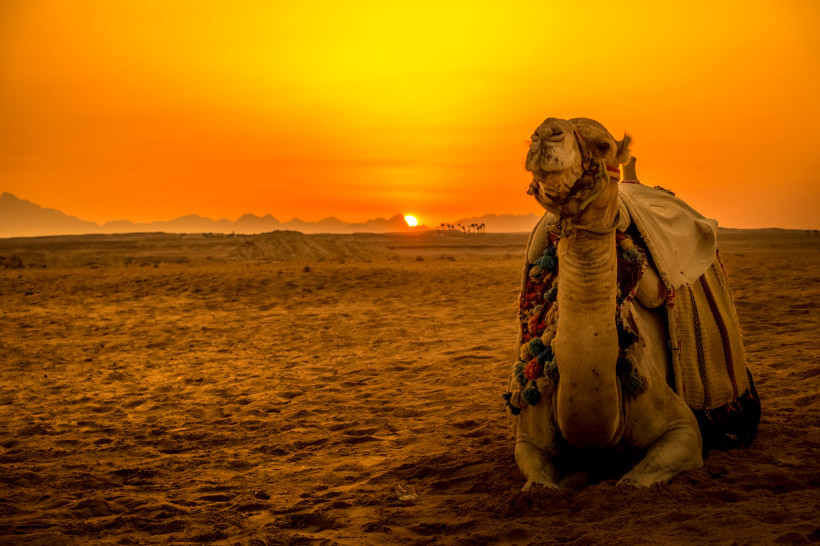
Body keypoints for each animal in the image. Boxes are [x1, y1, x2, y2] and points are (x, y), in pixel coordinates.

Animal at [506, 117, 758, 489]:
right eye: (536, 134)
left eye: (603, 145)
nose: (545, 132)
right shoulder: (527, 439)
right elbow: (538, 485)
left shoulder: (683, 429)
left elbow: (631, 482)